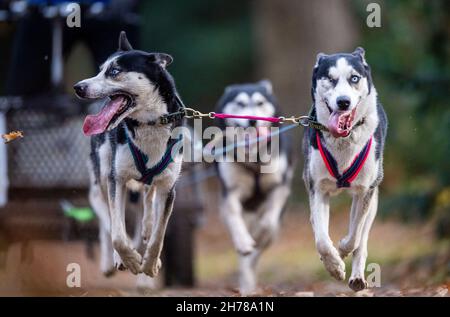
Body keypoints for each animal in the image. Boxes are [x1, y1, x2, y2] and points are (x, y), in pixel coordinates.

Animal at [74, 30, 184, 276]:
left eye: (114, 71)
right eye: (100, 70)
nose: (78, 87)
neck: (150, 123)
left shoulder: (168, 187)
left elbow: (158, 236)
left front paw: (151, 263)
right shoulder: (117, 179)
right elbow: (118, 234)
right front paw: (131, 259)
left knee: (147, 197)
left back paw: (147, 227)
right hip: (103, 175)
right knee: (106, 217)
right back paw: (112, 260)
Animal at [214, 79, 296, 294]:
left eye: (260, 103)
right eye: (240, 104)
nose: (252, 120)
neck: (254, 159)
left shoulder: (279, 187)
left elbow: (268, 223)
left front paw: (260, 233)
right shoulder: (231, 192)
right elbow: (233, 215)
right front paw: (244, 241)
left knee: (259, 249)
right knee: (244, 258)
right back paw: (246, 283)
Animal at [304, 47, 388, 292]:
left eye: (354, 78)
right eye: (330, 79)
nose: (343, 102)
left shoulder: (365, 191)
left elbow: (355, 236)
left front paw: (341, 250)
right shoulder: (317, 187)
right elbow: (322, 241)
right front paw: (334, 265)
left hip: (373, 197)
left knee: (362, 238)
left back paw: (357, 276)